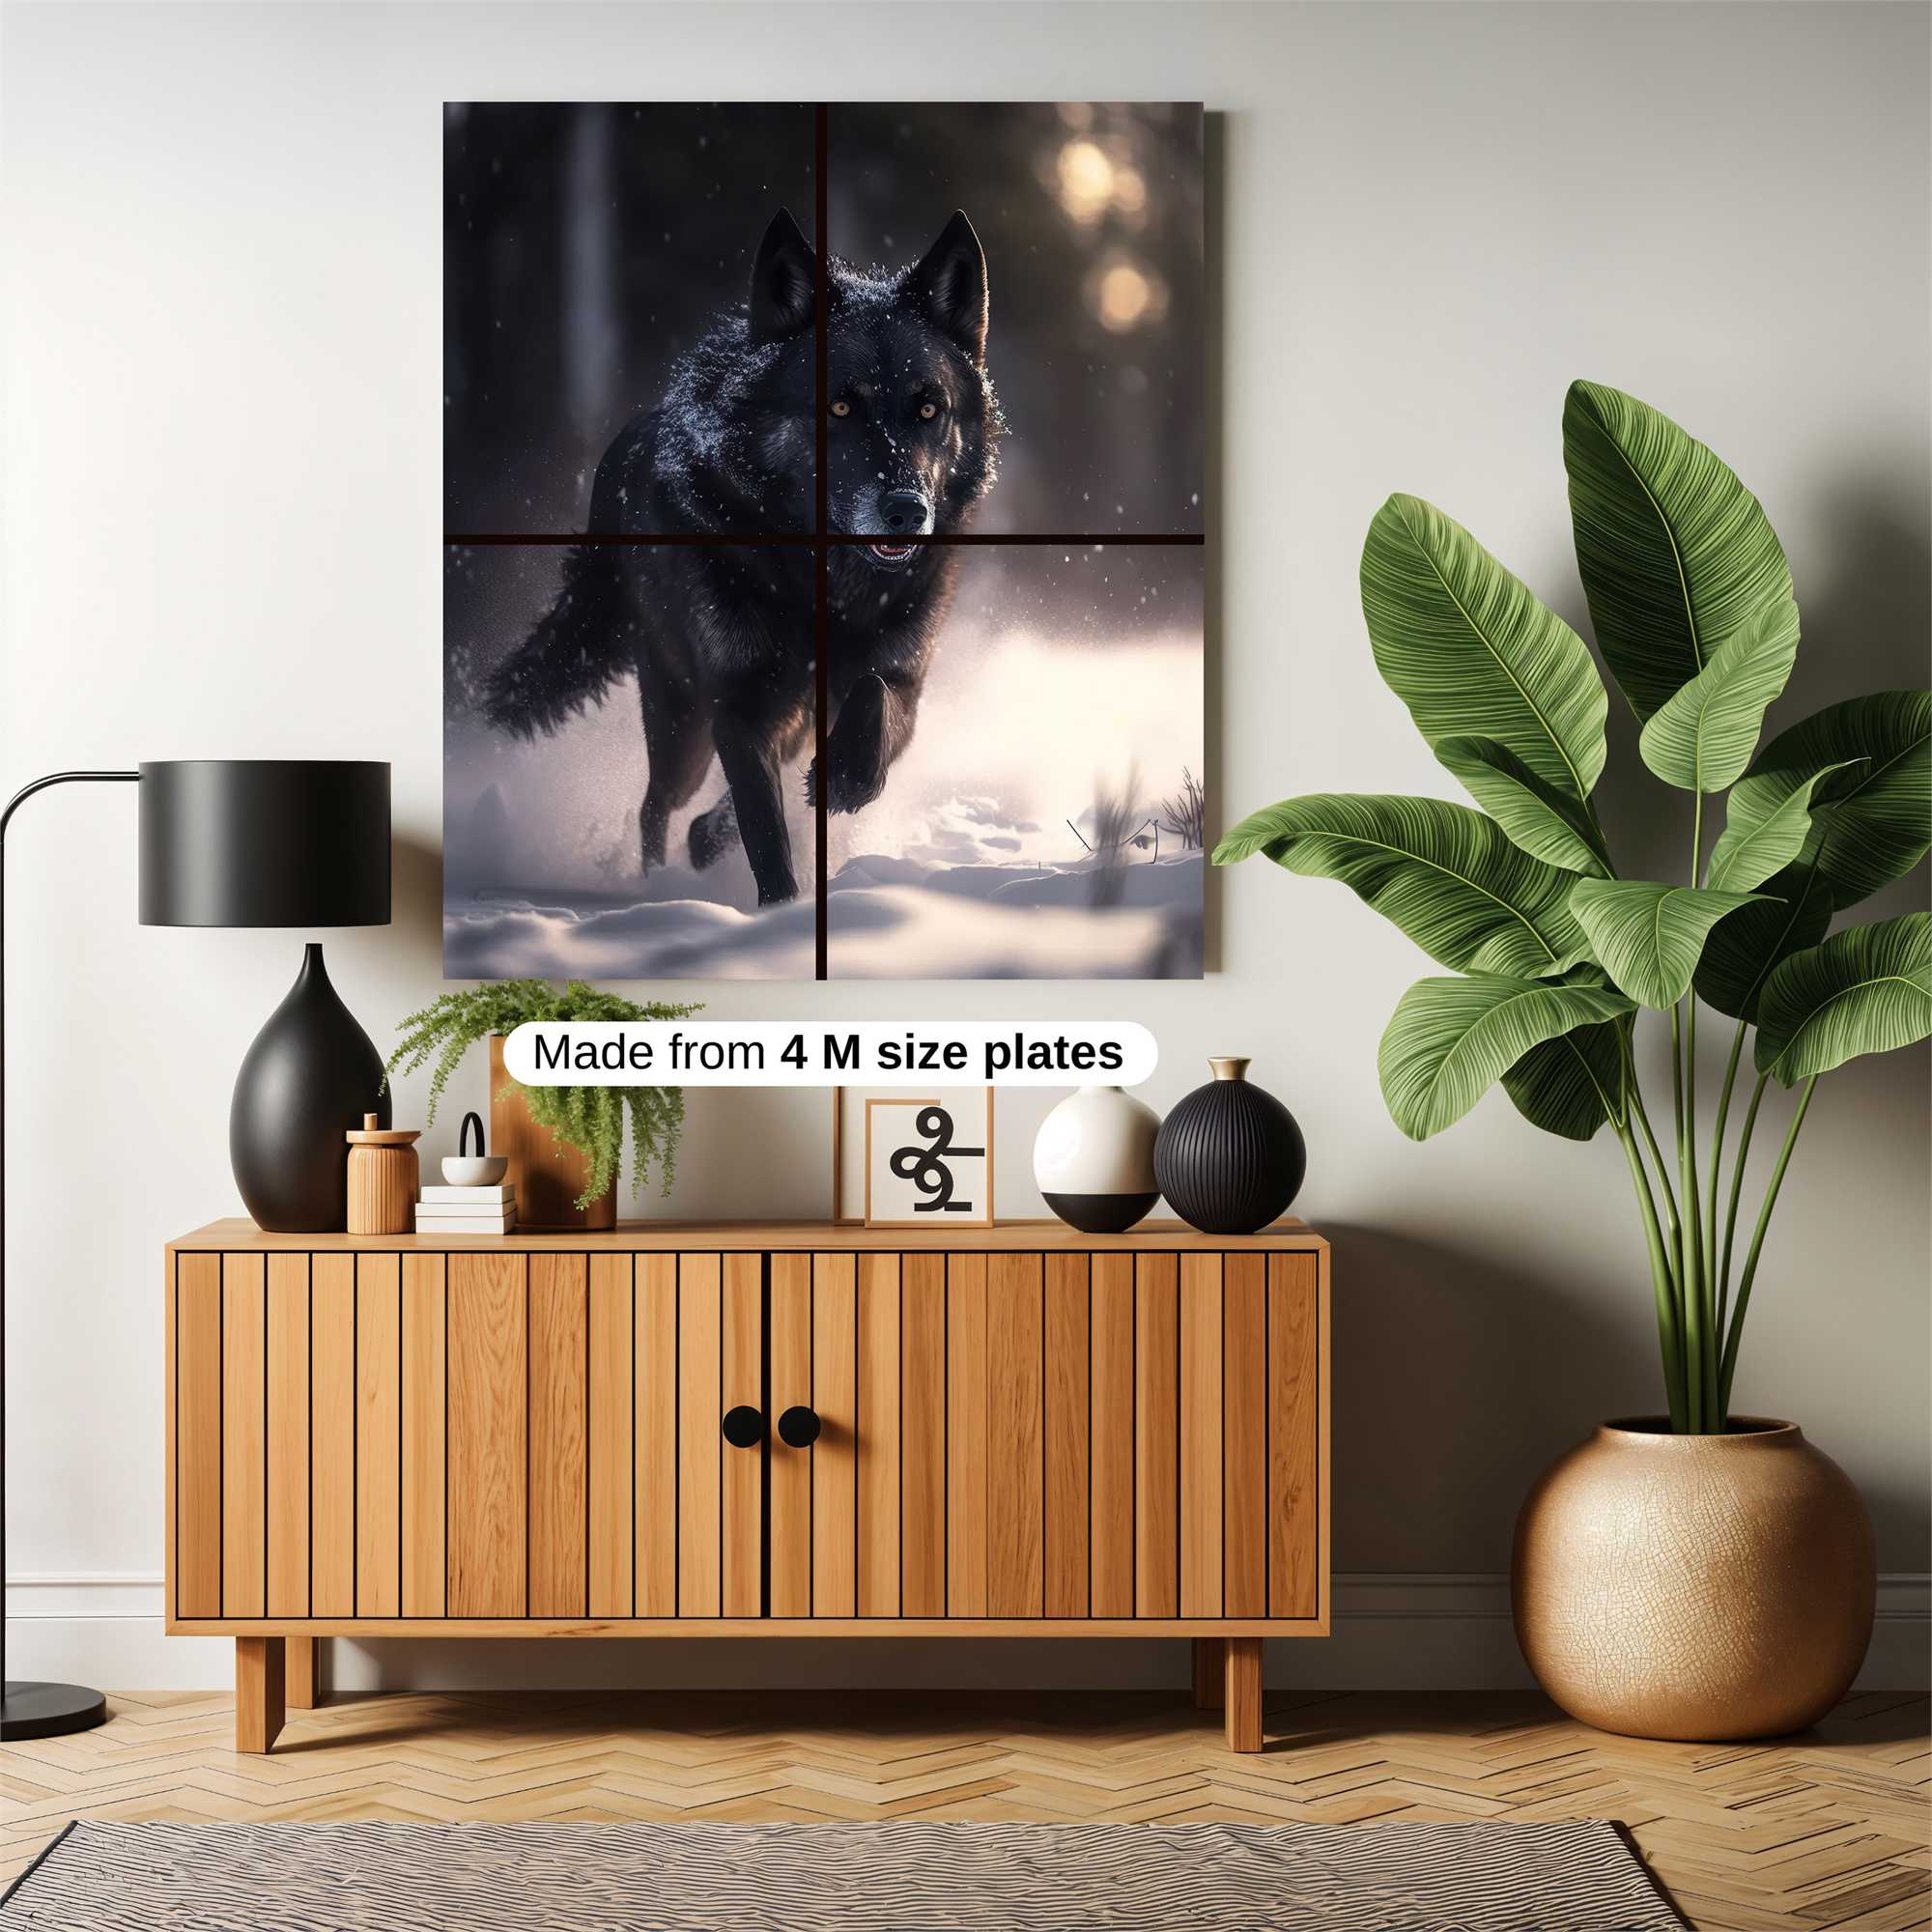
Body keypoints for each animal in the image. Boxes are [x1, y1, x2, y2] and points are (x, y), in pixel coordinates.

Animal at [481, 208, 1002, 906]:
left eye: (928, 407)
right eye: (839, 405)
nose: (905, 510)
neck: (822, 585)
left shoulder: (899, 682)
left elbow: (870, 702)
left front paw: (845, 779)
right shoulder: (739, 704)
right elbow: (764, 829)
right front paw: (779, 910)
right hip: (681, 722)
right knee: (655, 806)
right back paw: (659, 881)